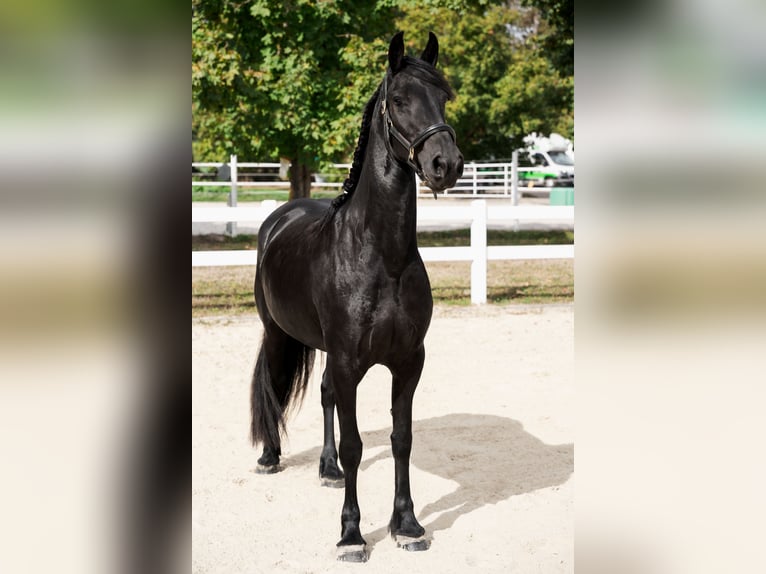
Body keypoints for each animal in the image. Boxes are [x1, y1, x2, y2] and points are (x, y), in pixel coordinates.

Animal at [250, 31, 463, 562]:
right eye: (400, 100)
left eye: (444, 97)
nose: (445, 164)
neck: (380, 256)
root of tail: (279, 218)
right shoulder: (349, 361)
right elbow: (355, 445)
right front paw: (351, 535)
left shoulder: (408, 361)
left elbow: (402, 438)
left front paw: (406, 525)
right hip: (276, 333)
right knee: (273, 387)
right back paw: (270, 456)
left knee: (325, 394)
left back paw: (326, 469)